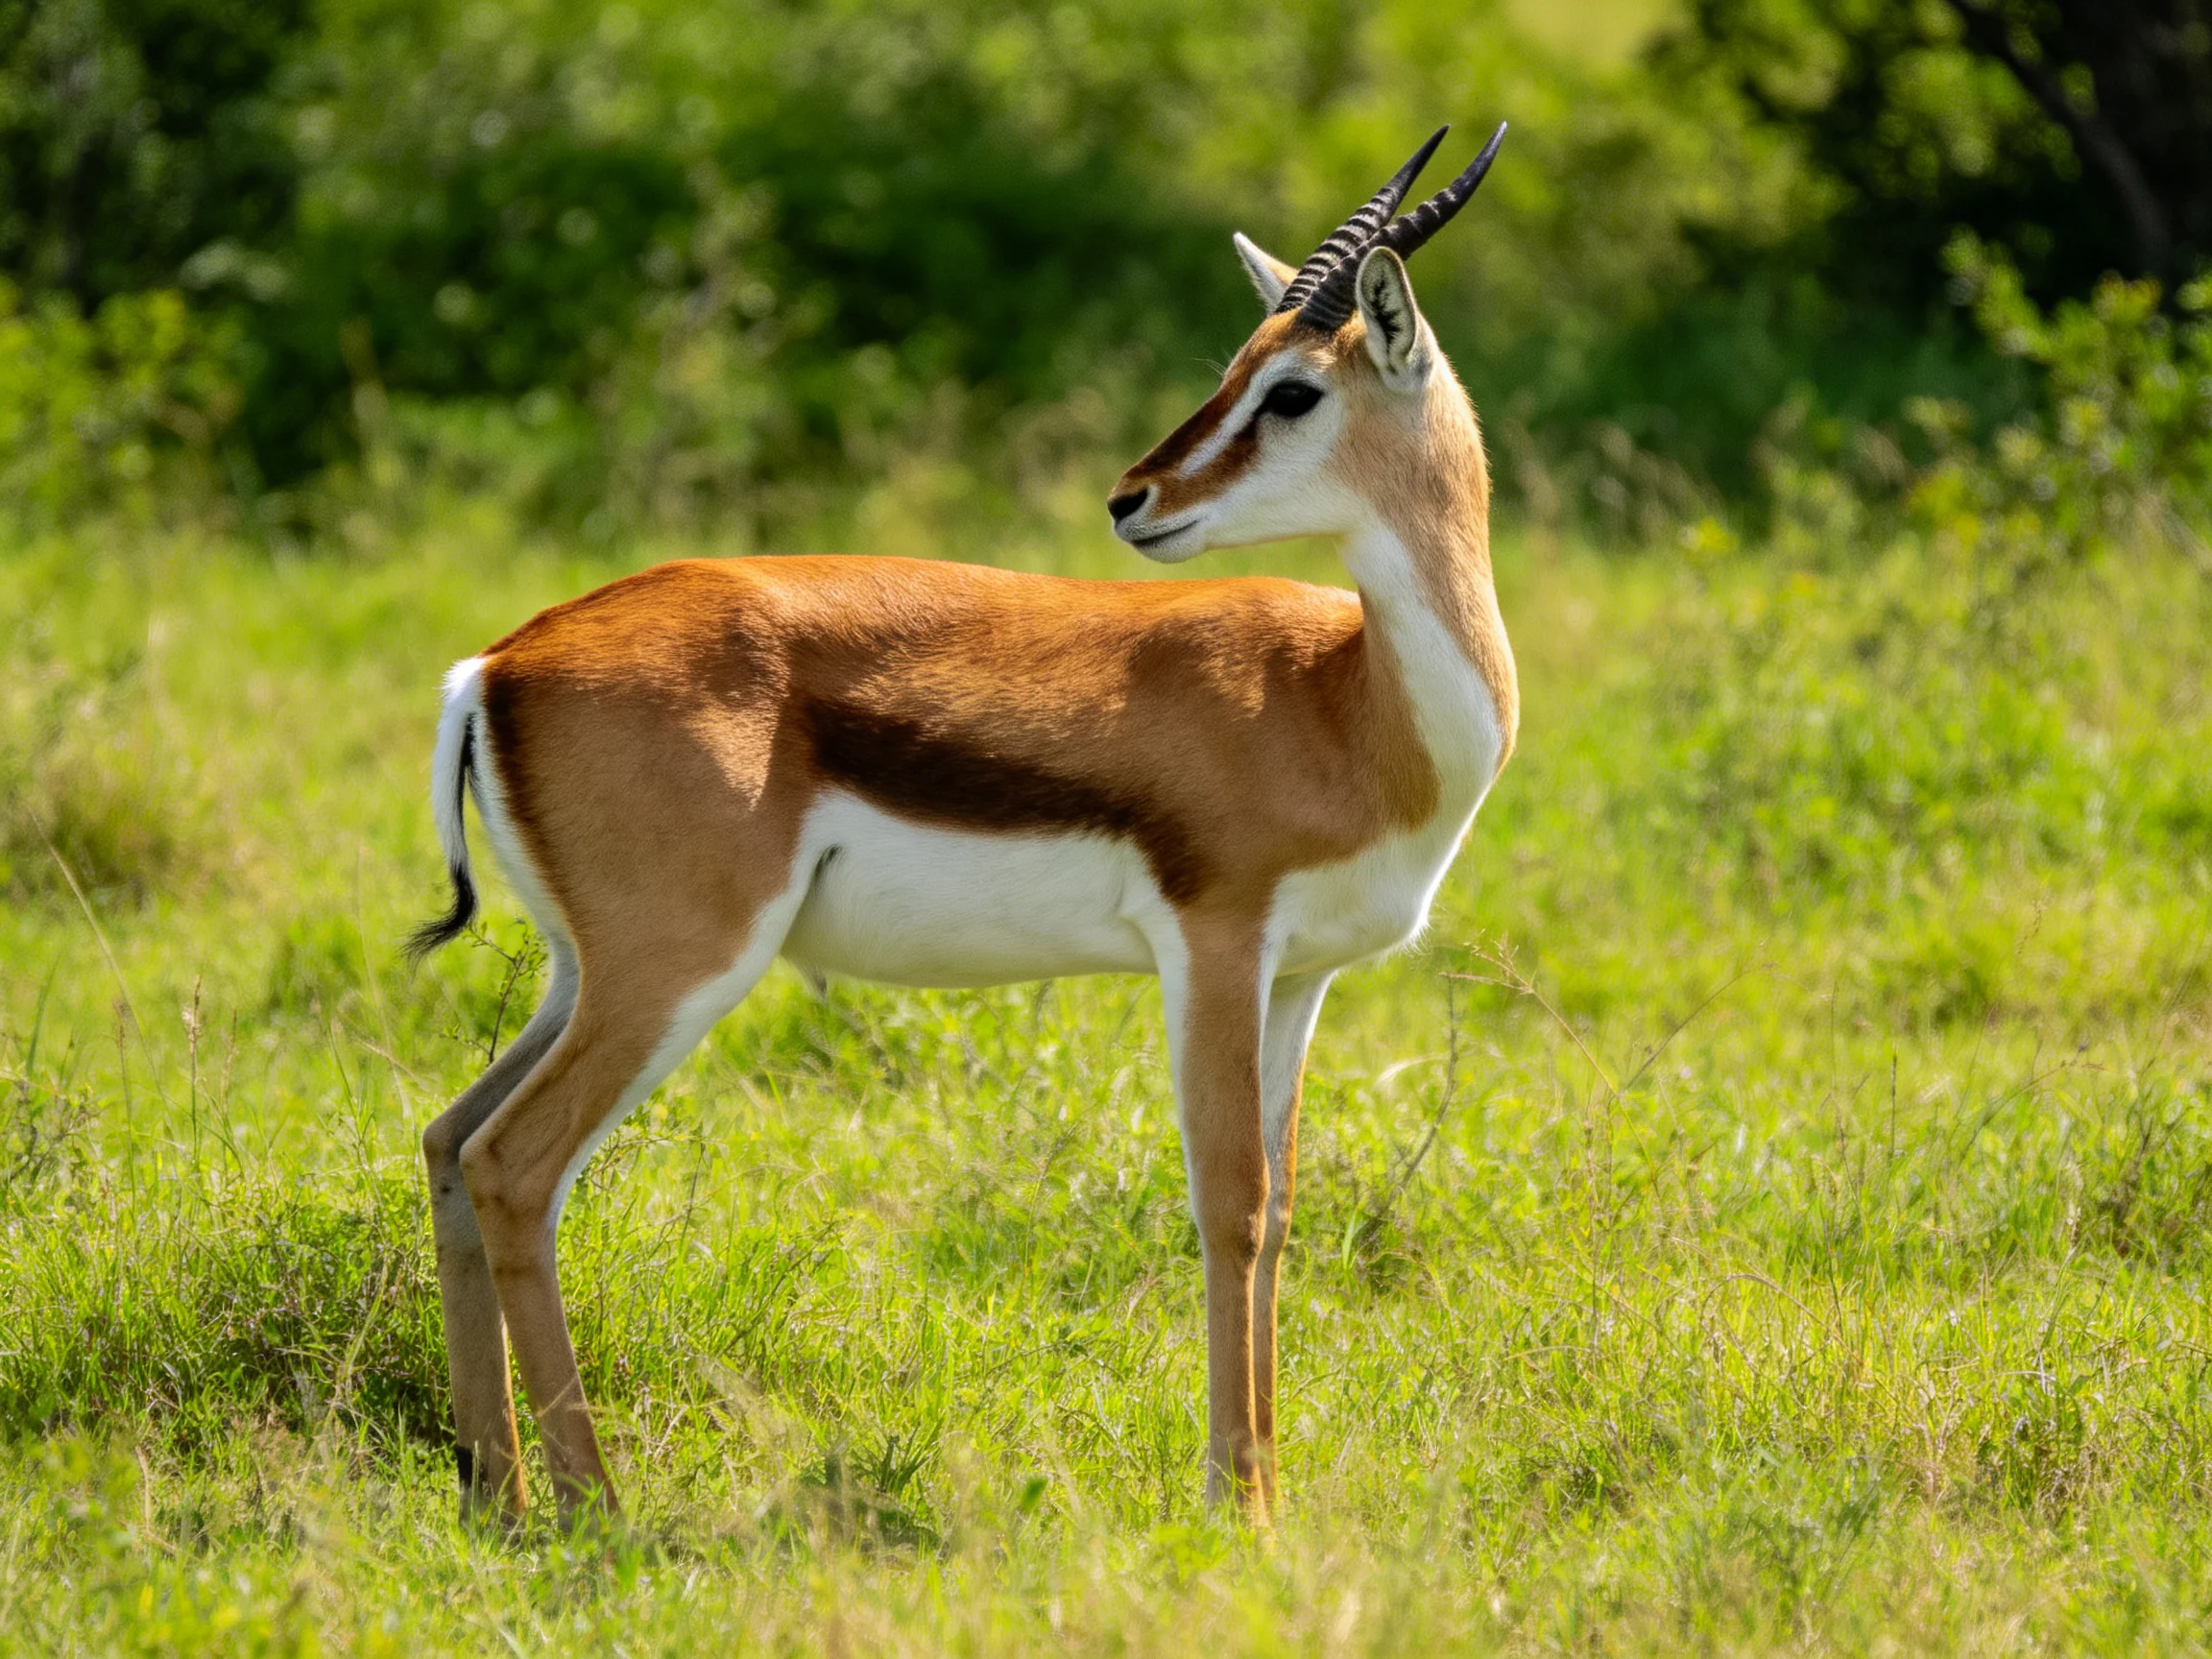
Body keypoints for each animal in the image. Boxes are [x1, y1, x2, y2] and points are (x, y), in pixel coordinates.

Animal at [413, 122, 1515, 1529]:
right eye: (1242, 370)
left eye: (1288, 390)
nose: (1133, 498)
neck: (1345, 698)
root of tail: (499, 663)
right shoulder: (1214, 950)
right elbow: (1227, 1201)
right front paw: (1238, 1505)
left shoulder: (1298, 980)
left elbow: (1276, 1212)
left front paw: (1262, 1484)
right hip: (677, 971)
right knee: (515, 1165)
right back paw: (594, 1503)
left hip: (580, 972)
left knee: (451, 1140)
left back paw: (492, 1491)